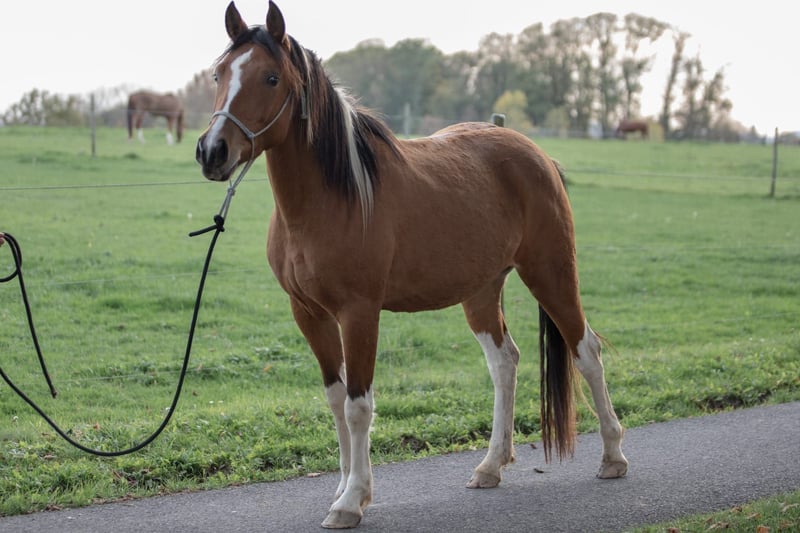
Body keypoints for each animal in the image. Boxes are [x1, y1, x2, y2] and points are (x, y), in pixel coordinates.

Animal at [196, 1, 628, 528]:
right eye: (219, 73)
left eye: (271, 78)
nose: (212, 151)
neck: (332, 199)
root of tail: (538, 156)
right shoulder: (309, 314)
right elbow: (336, 399)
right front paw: (344, 486)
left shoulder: (359, 313)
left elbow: (359, 406)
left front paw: (352, 500)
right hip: (482, 291)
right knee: (504, 362)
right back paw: (490, 465)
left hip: (551, 273)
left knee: (586, 351)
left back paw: (613, 456)